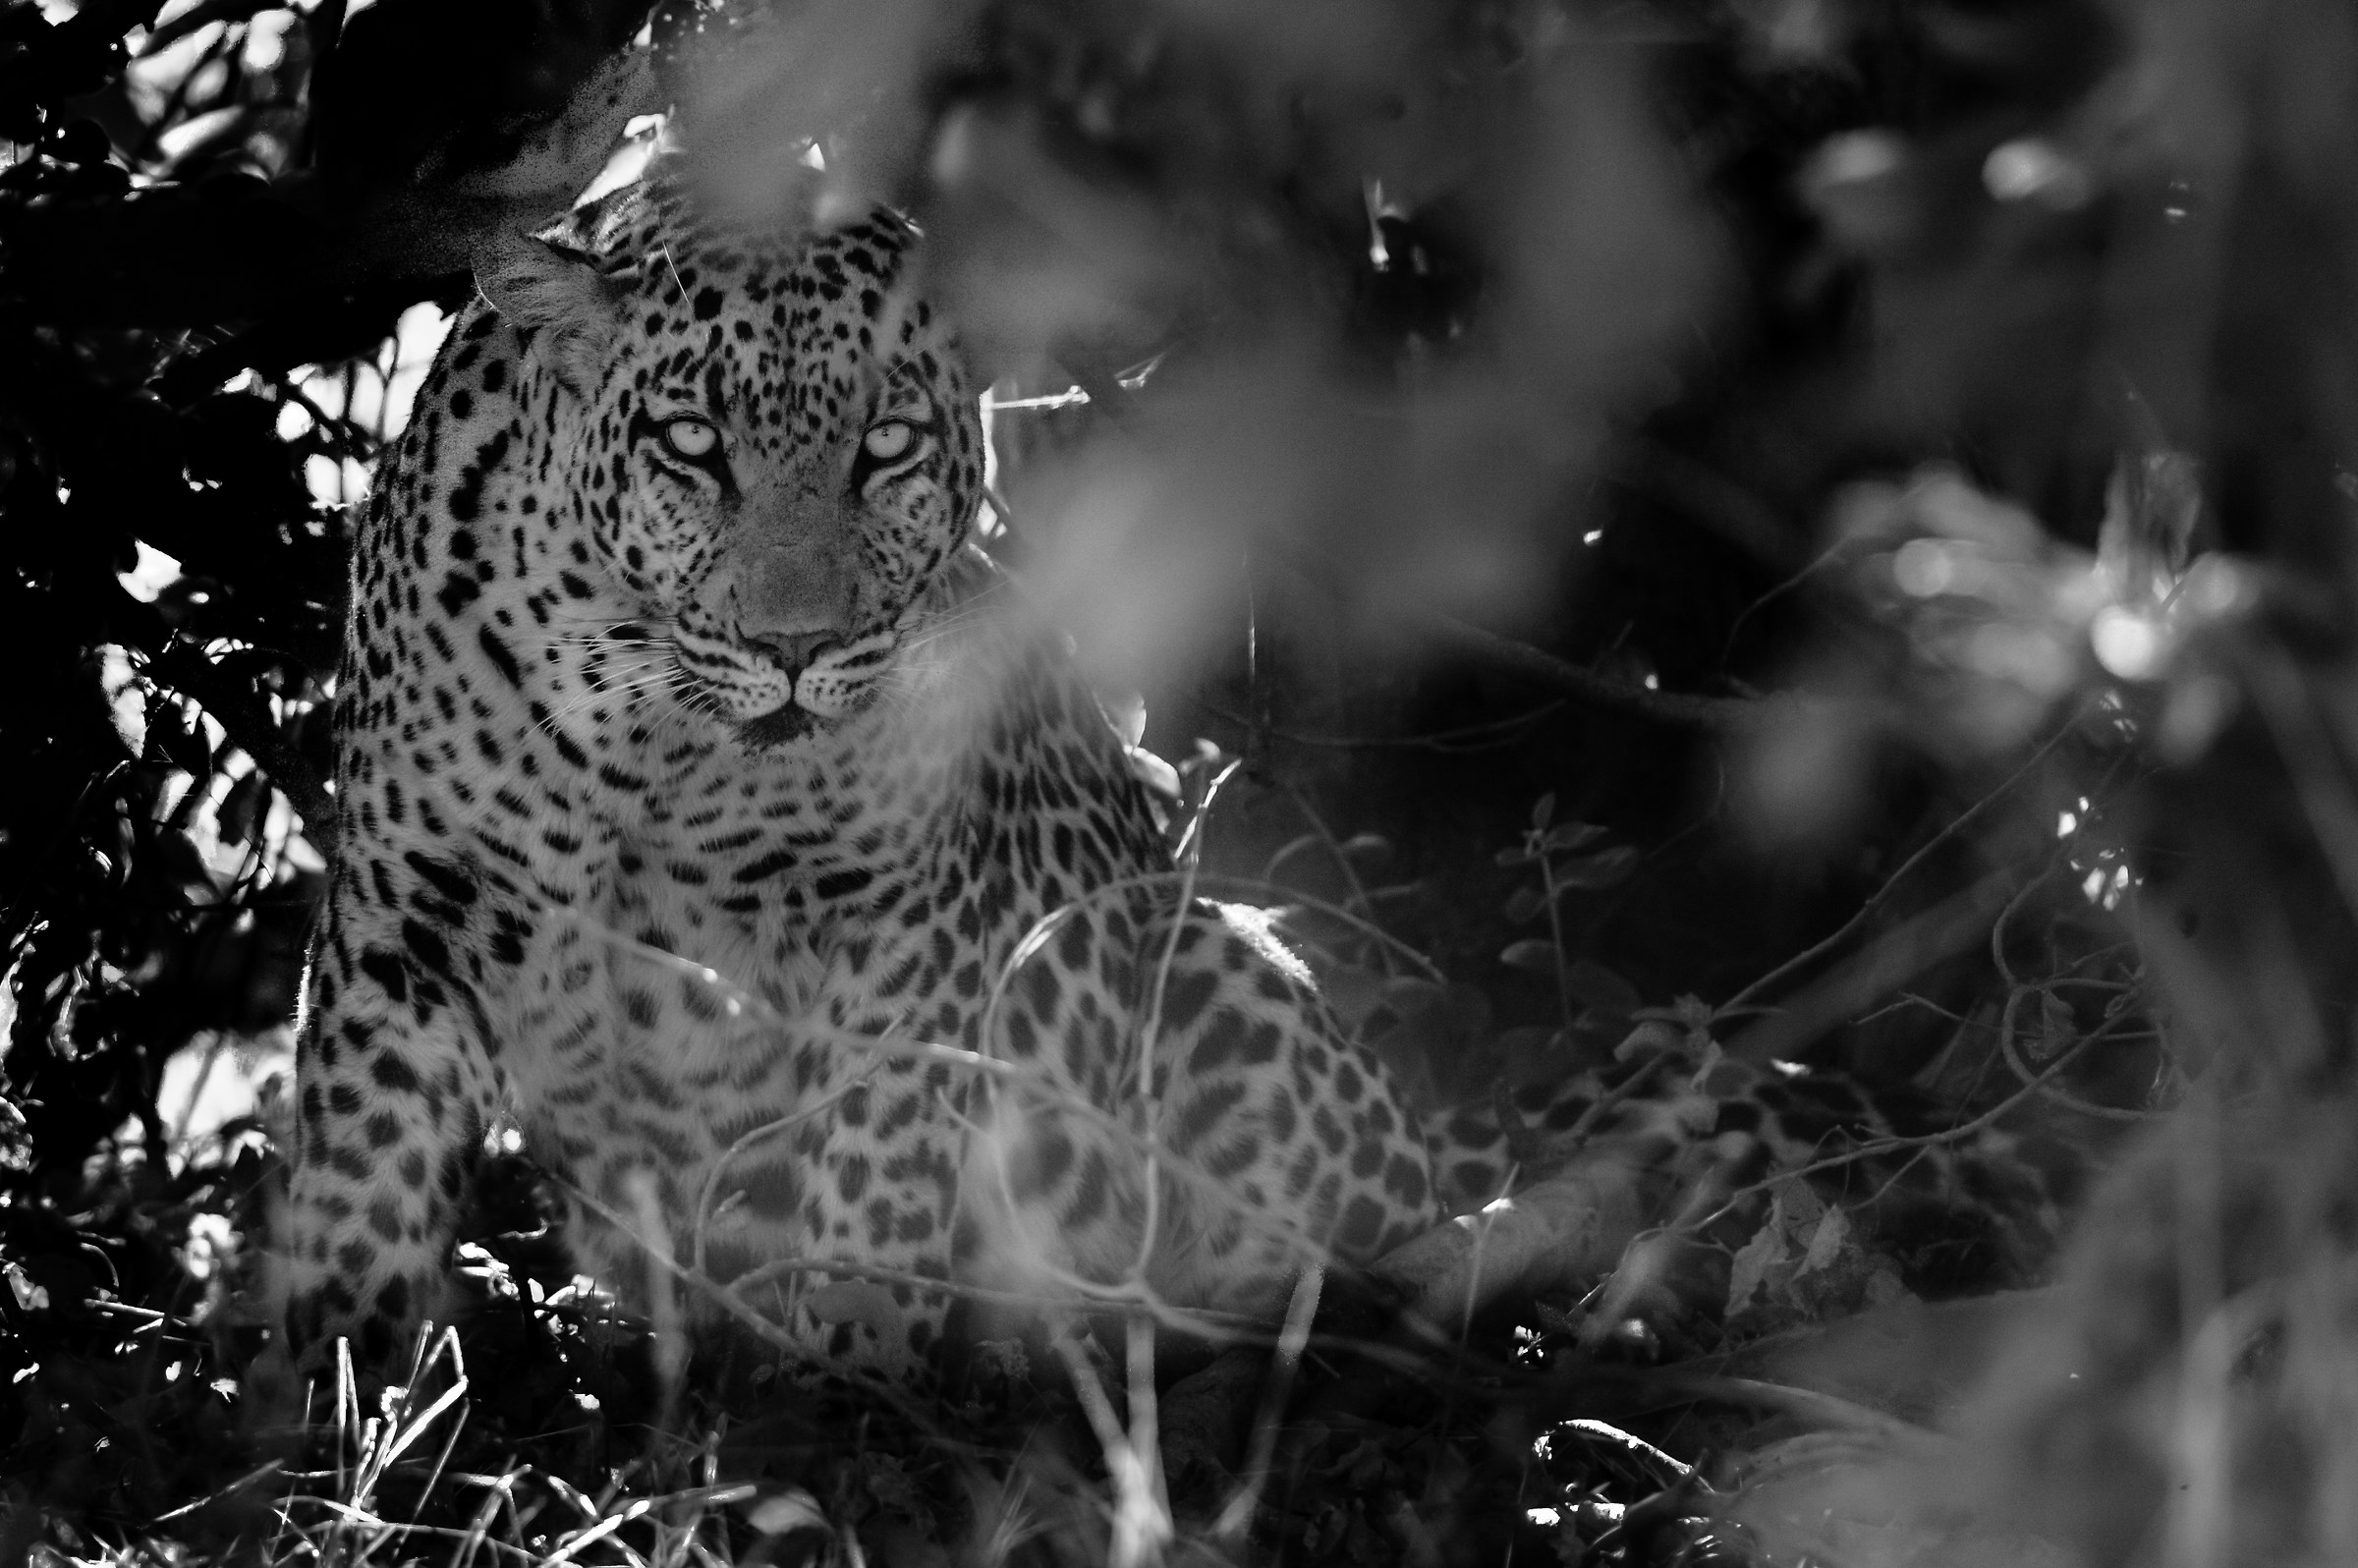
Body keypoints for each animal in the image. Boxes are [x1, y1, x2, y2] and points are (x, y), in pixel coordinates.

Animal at [260, 161, 1445, 1404]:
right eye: (693, 443)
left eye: (886, 446)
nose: (796, 645)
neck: (648, 738)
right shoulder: (407, 914)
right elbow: (361, 1173)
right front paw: (340, 1397)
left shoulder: (903, 913)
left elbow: (880, 1152)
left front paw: (855, 1374)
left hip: (1213, 968)